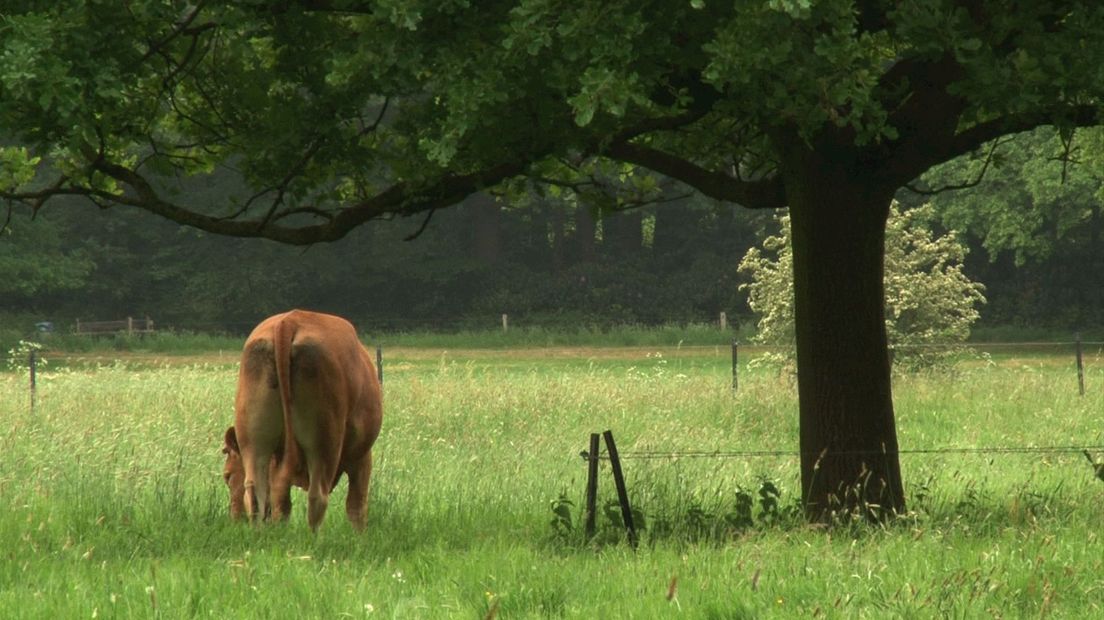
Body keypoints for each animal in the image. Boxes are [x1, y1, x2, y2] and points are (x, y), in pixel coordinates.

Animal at [219, 306, 384, 525]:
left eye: (227, 475)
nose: (235, 517)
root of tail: (289, 321)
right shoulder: (362, 457)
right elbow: (356, 507)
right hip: (324, 442)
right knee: (316, 497)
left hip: (255, 439)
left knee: (258, 496)